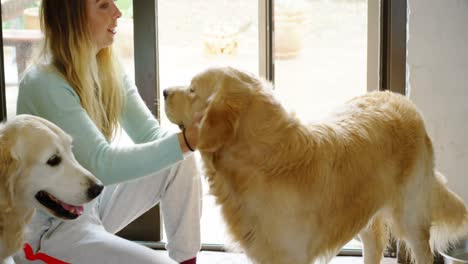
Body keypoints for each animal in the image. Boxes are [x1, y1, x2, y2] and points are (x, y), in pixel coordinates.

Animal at [165, 67, 468, 262]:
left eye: (192, 90)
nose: (165, 90)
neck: (264, 161)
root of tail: (400, 97)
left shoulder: (292, 254)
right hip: (363, 210)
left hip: (410, 215)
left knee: (424, 252)